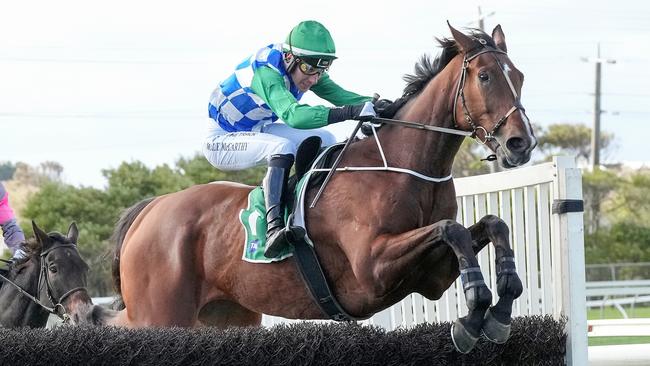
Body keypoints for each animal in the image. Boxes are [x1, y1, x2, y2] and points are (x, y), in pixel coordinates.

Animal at [93, 23, 536, 354]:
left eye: (519, 76)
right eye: (485, 76)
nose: (521, 143)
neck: (405, 168)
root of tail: (150, 210)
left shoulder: (432, 276)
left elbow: (492, 224)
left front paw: (497, 310)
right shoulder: (372, 268)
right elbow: (452, 229)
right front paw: (477, 308)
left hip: (226, 316)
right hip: (159, 314)